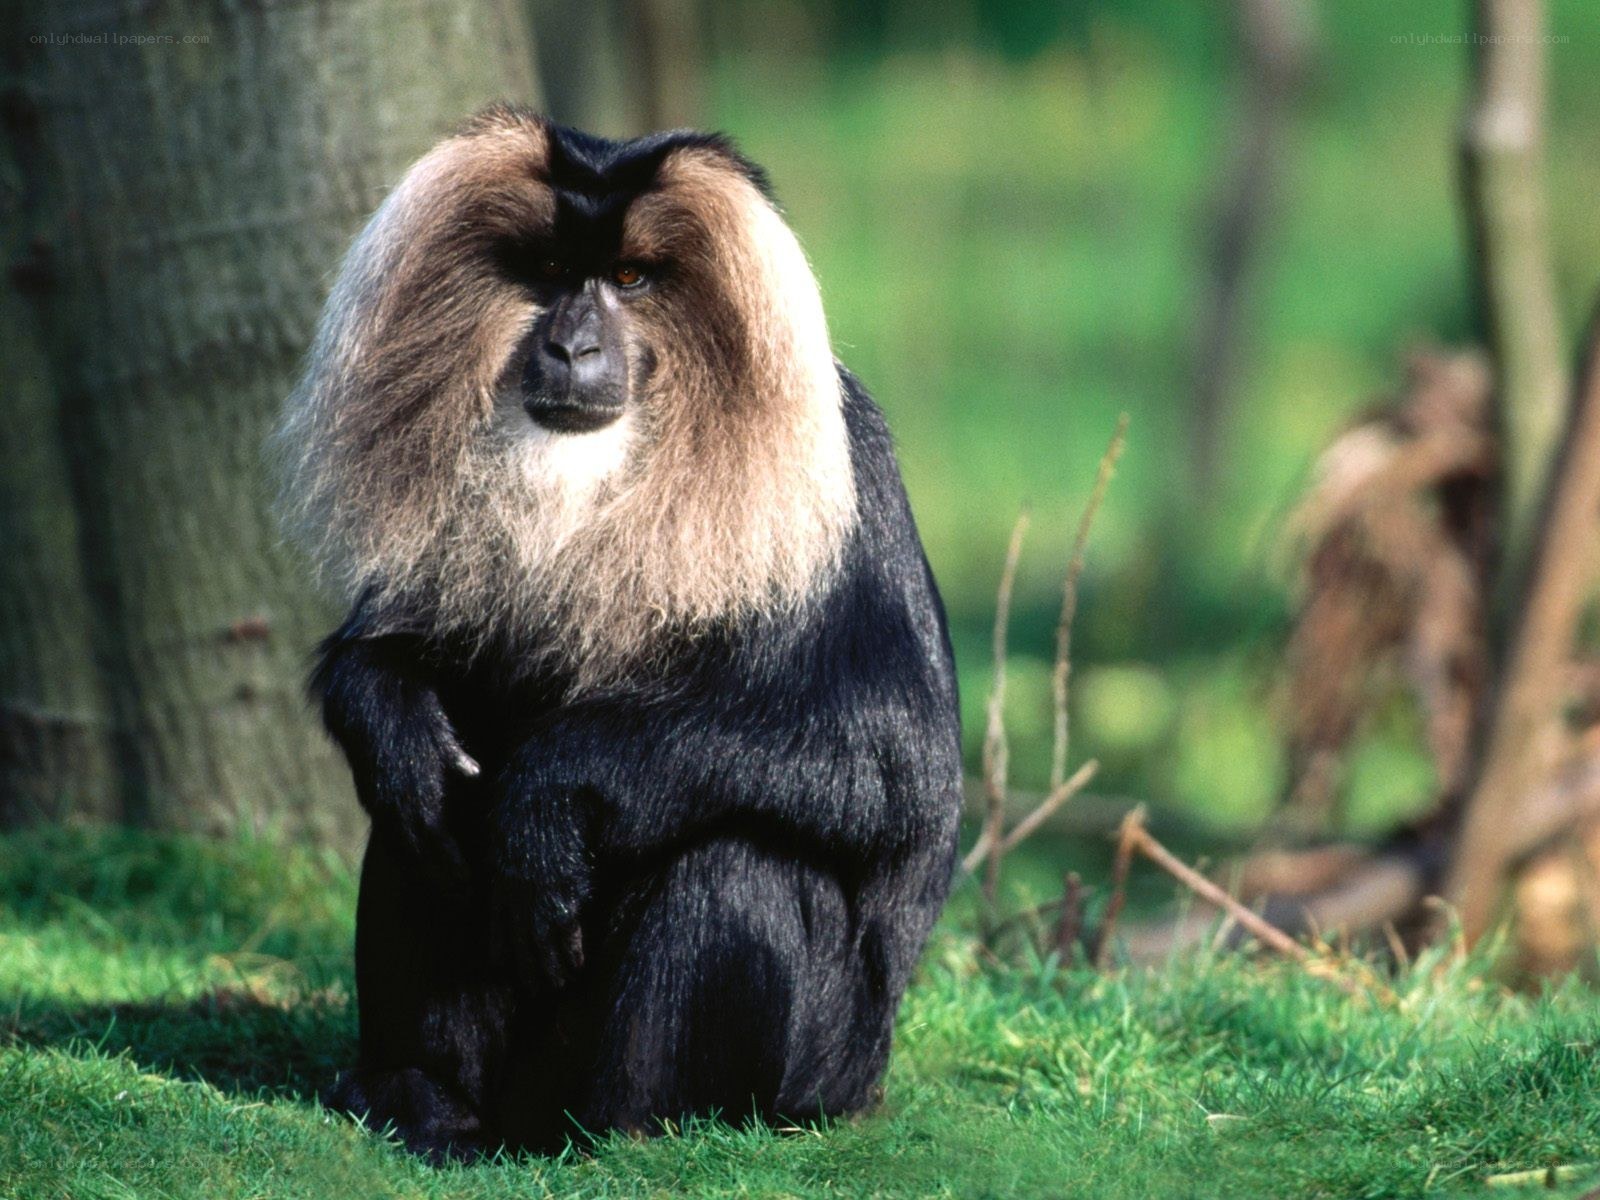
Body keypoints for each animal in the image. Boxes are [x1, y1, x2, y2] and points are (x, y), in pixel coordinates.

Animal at [276, 104, 962, 1159]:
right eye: (555, 274)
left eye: (633, 280)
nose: (572, 349)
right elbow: (386, 661)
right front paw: (388, 711)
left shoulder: (848, 464)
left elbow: (902, 759)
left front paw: (554, 798)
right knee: (420, 813)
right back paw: (427, 1097)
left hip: (819, 1073)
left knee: (736, 861)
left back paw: (629, 1129)